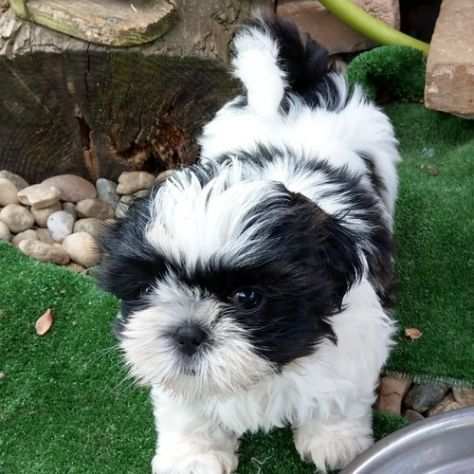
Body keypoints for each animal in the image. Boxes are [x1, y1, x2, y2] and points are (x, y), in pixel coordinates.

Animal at [100, 13, 400, 474]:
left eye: (247, 298)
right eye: (147, 287)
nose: (187, 332)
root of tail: (300, 92)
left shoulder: (356, 341)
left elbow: (340, 395)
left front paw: (334, 441)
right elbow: (185, 408)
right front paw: (193, 456)